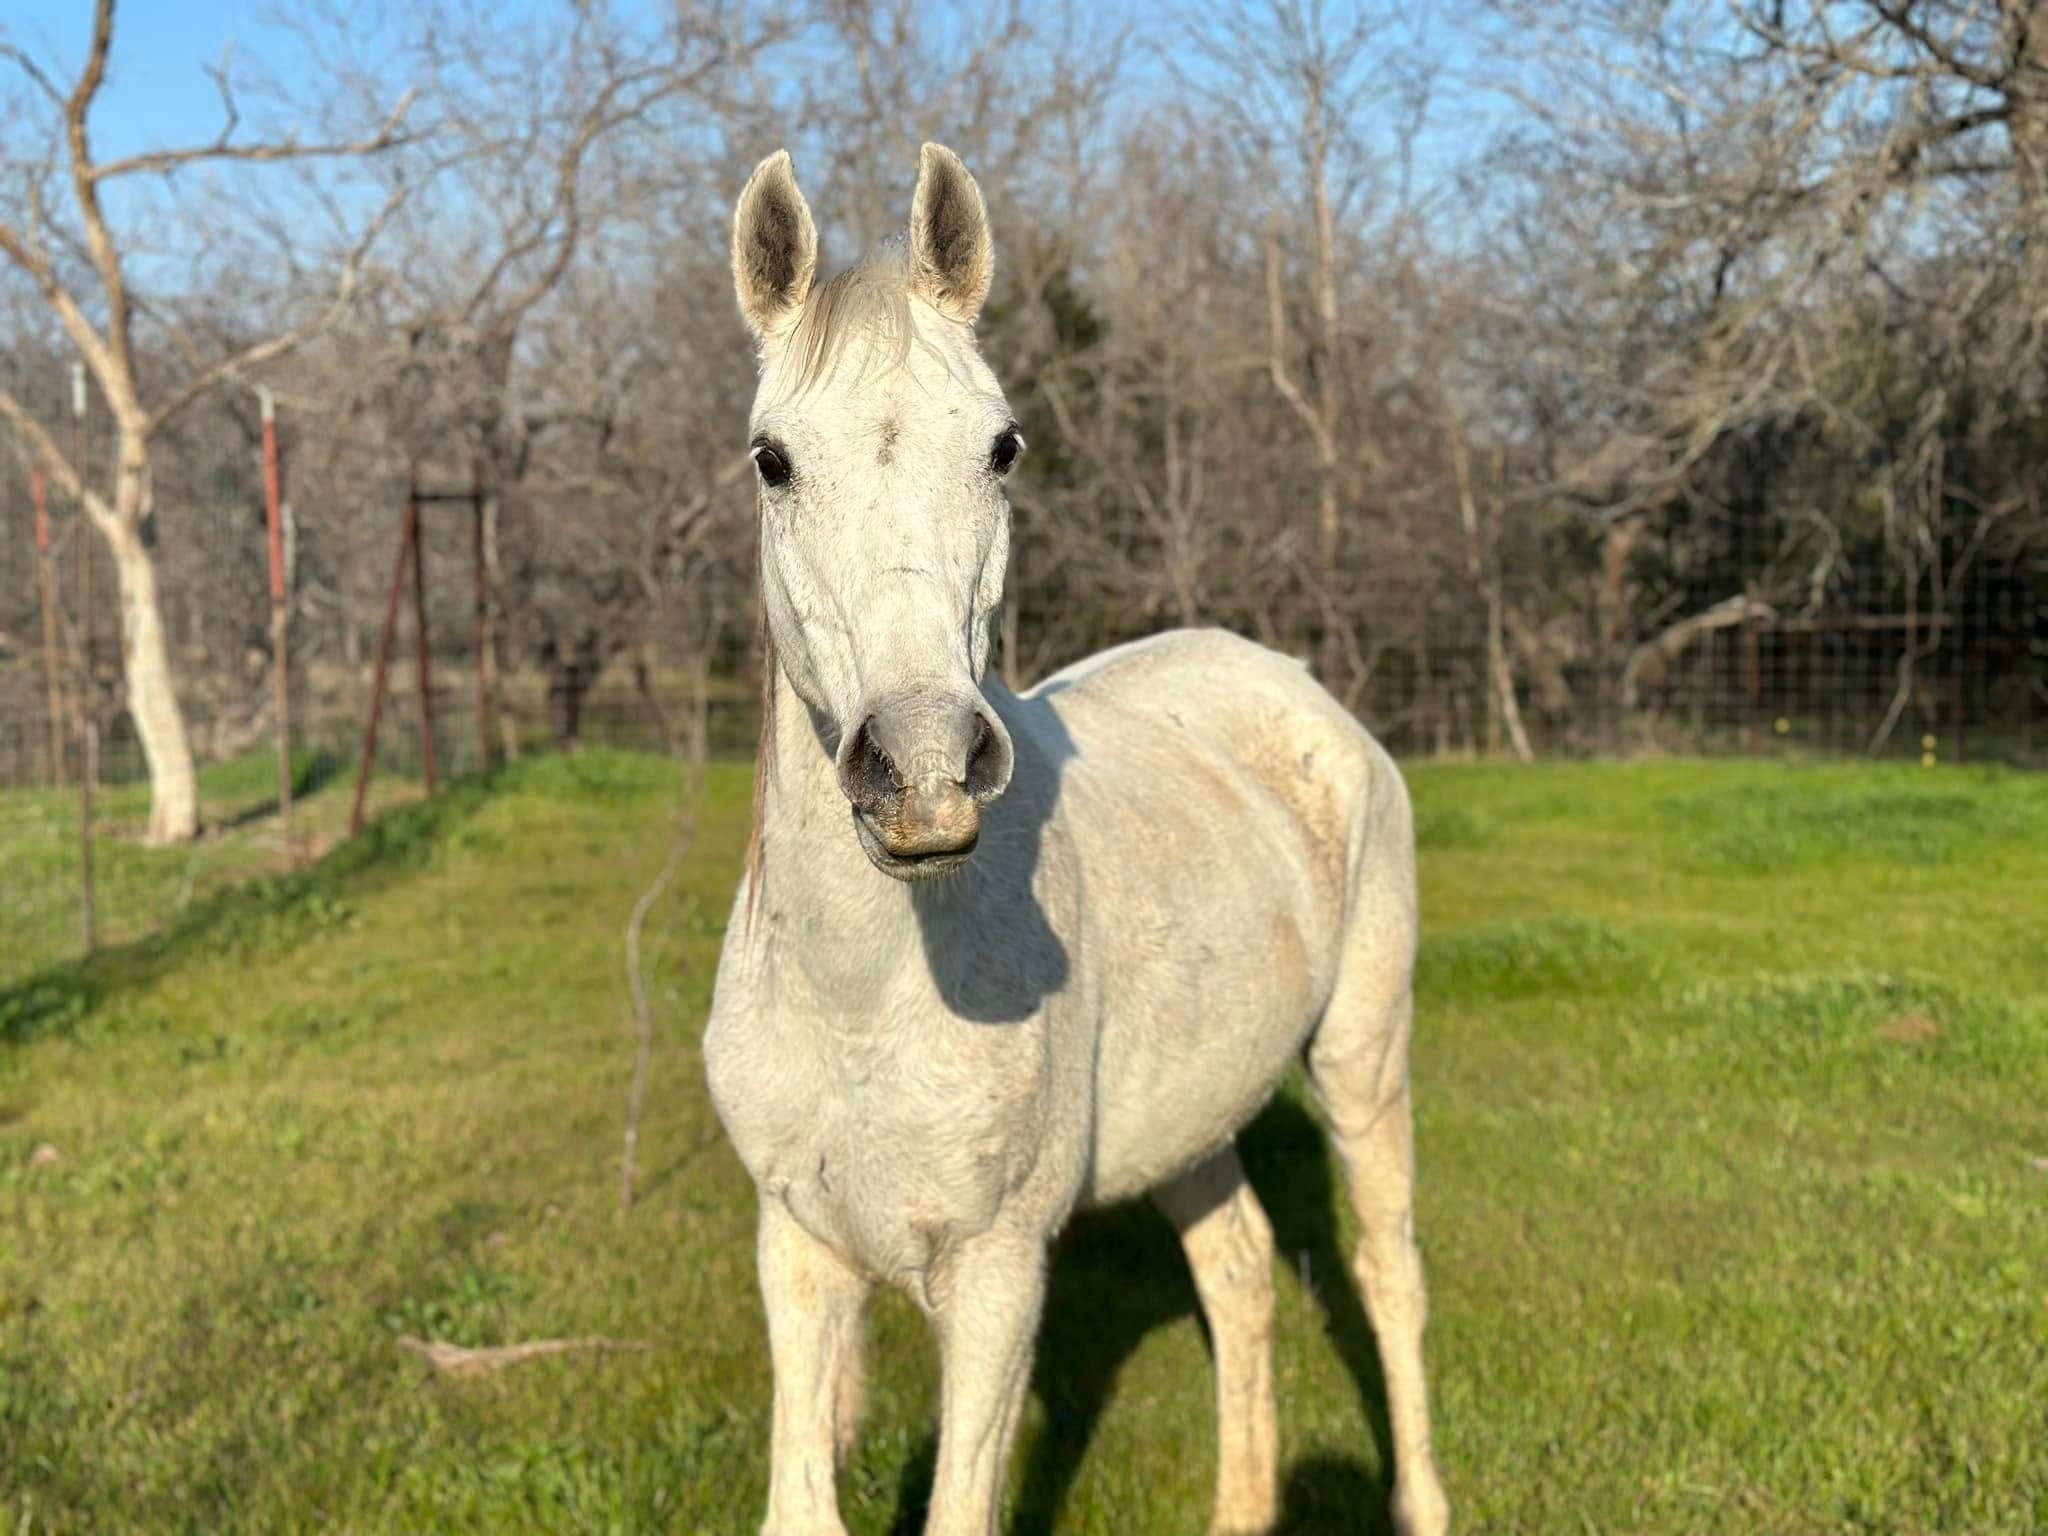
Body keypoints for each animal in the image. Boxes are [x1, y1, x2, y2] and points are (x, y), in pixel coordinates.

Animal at [704, 143, 1450, 1536]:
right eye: (771, 460)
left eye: (1001, 448)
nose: (923, 772)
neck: (862, 1000)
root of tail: (1294, 686)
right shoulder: (799, 1248)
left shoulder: (998, 1277)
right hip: (1194, 1120)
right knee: (1239, 1270)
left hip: (1361, 1058)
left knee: (1387, 1275)